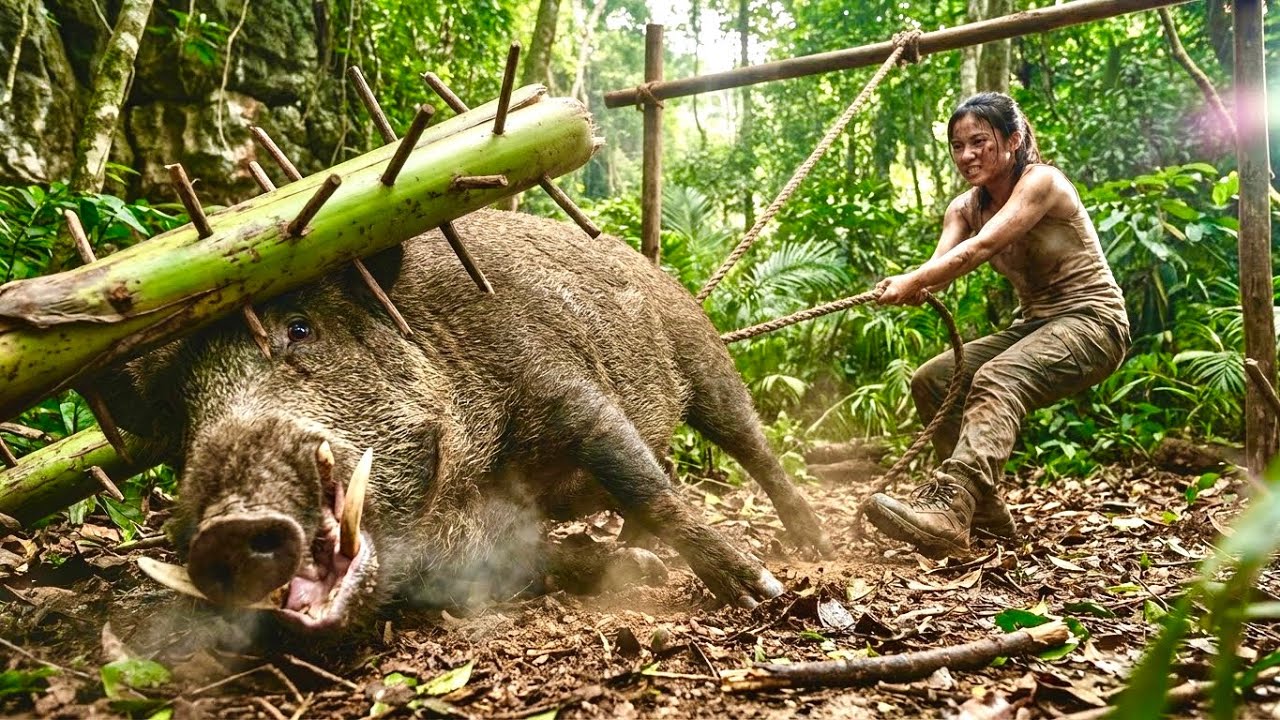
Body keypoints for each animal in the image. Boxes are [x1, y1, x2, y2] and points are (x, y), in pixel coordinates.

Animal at [106, 210, 831, 632]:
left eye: (301, 328)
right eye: (175, 410)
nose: (223, 528)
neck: (461, 486)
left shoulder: (562, 382)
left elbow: (641, 482)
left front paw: (757, 592)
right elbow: (547, 555)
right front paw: (638, 572)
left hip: (702, 355)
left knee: (747, 445)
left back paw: (812, 545)